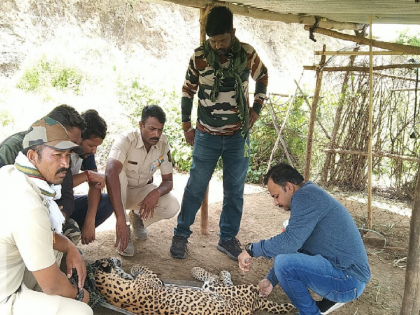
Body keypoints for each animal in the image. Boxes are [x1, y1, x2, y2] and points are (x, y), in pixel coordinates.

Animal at [94, 258, 296, 314]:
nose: (114, 259)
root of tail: (254, 305)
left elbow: (130, 272)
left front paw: (120, 264)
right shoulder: (152, 279)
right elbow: (139, 270)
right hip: (221, 290)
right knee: (216, 279)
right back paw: (210, 271)